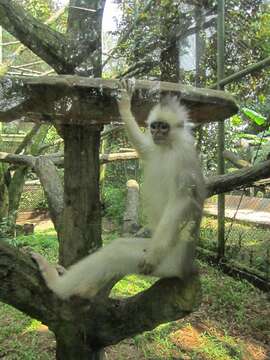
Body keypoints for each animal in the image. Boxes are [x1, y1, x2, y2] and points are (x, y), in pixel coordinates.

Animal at [31, 81, 206, 298]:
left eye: (164, 127)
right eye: (155, 126)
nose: (156, 133)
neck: (168, 147)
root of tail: (186, 265)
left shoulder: (183, 159)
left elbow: (181, 201)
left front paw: (152, 256)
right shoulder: (154, 147)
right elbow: (144, 148)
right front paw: (124, 104)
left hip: (169, 262)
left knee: (117, 254)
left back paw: (56, 283)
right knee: (118, 247)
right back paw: (81, 288)